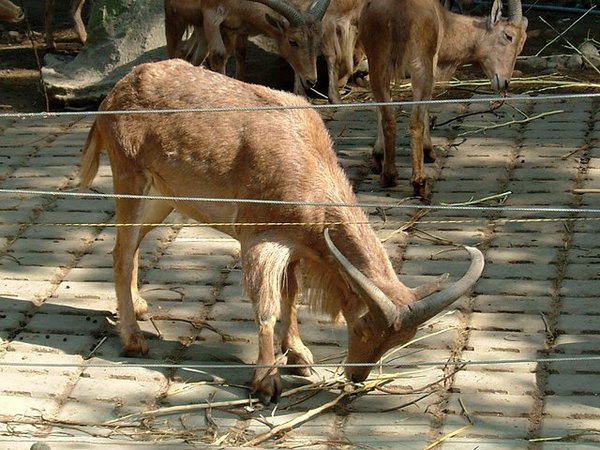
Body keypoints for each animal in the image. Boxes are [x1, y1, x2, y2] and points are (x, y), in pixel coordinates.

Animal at [79, 60, 486, 404]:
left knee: (131, 247)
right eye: (363, 326)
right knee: (120, 252)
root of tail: (113, 96)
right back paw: (133, 339)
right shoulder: (261, 241)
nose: (356, 376)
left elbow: (291, 298)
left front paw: (300, 357)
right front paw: (267, 382)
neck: (306, 164)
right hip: (131, 179)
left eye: (401, 341)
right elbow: (267, 308)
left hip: (163, 198)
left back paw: (139, 306)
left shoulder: (295, 247)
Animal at [165, 0, 328, 94]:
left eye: (318, 40)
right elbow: (218, 54)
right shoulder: (211, 17)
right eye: (293, 41)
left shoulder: (237, 29)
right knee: (174, 50)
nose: (311, 81)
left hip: (199, 28)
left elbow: (241, 55)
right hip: (174, 17)